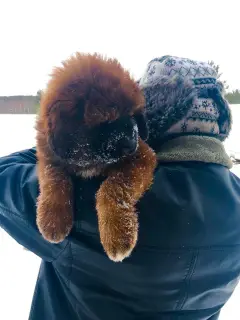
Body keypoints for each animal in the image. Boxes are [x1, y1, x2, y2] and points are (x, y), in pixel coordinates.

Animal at [34, 52, 157, 262]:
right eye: (105, 120)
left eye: (133, 116)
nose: (131, 144)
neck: (89, 156)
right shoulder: (48, 158)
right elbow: (54, 179)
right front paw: (52, 218)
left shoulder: (142, 157)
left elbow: (113, 187)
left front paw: (118, 232)